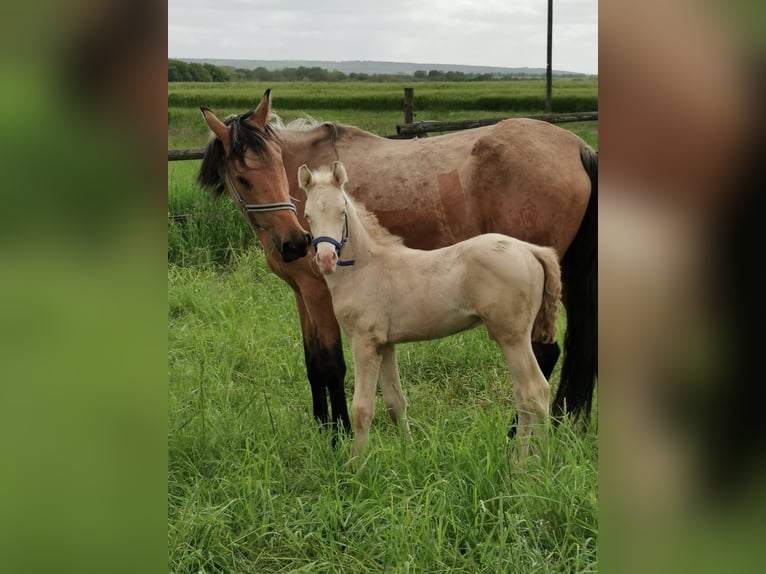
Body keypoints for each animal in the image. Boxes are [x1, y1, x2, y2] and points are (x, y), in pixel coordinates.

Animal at [198, 91, 600, 436]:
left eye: (278, 167)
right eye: (243, 178)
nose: (296, 243)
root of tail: (579, 147)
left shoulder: (318, 293)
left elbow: (331, 364)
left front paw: (339, 436)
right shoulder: (301, 293)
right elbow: (313, 364)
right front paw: (322, 430)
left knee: (544, 355)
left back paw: (516, 433)